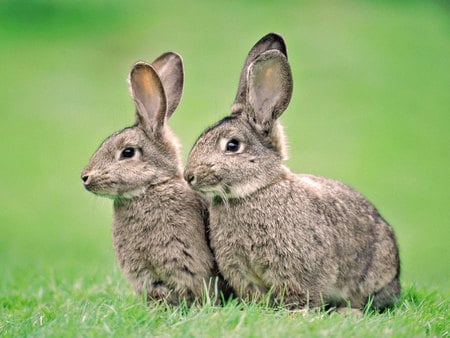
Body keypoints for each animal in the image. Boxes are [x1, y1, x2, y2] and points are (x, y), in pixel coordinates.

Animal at [184, 33, 400, 310]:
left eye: (232, 146)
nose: (189, 176)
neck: (256, 190)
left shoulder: (296, 269)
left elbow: (299, 293)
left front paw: (295, 312)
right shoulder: (241, 272)